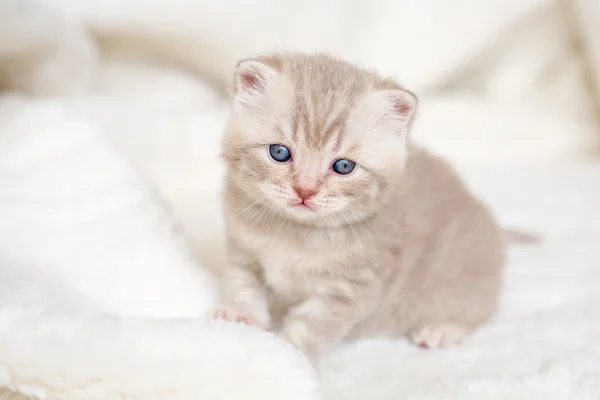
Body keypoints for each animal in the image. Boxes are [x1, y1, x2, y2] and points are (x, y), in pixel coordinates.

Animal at [216, 51, 506, 360]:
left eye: (344, 166)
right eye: (279, 152)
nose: (305, 190)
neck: (295, 233)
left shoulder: (348, 291)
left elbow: (310, 327)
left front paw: (290, 351)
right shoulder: (244, 252)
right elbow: (244, 285)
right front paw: (242, 318)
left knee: (477, 310)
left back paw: (441, 329)